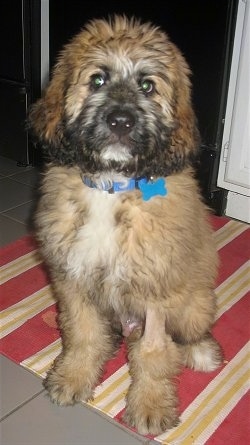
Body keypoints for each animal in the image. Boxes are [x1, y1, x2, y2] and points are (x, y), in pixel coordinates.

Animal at [29, 15, 223, 432]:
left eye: (147, 86)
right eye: (97, 80)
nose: (121, 120)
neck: (112, 186)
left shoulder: (155, 291)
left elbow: (153, 351)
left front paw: (150, 405)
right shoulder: (72, 278)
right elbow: (83, 334)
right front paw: (73, 377)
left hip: (194, 304)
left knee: (186, 336)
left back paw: (201, 351)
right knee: (105, 333)